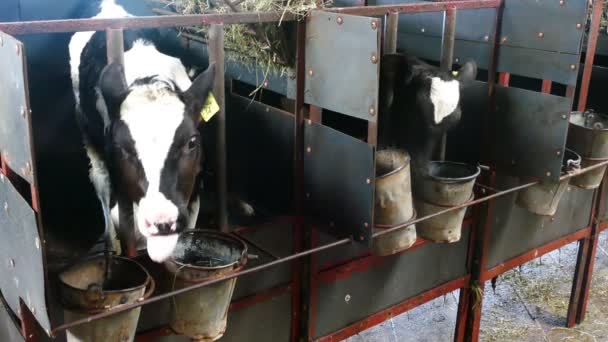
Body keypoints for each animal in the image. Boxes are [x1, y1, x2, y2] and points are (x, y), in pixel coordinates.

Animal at [68, 0, 214, 262]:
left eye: (191, 142)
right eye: (120, 147)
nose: (162, 221)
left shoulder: (197, 179)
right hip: (84, 123)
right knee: (99, 178)